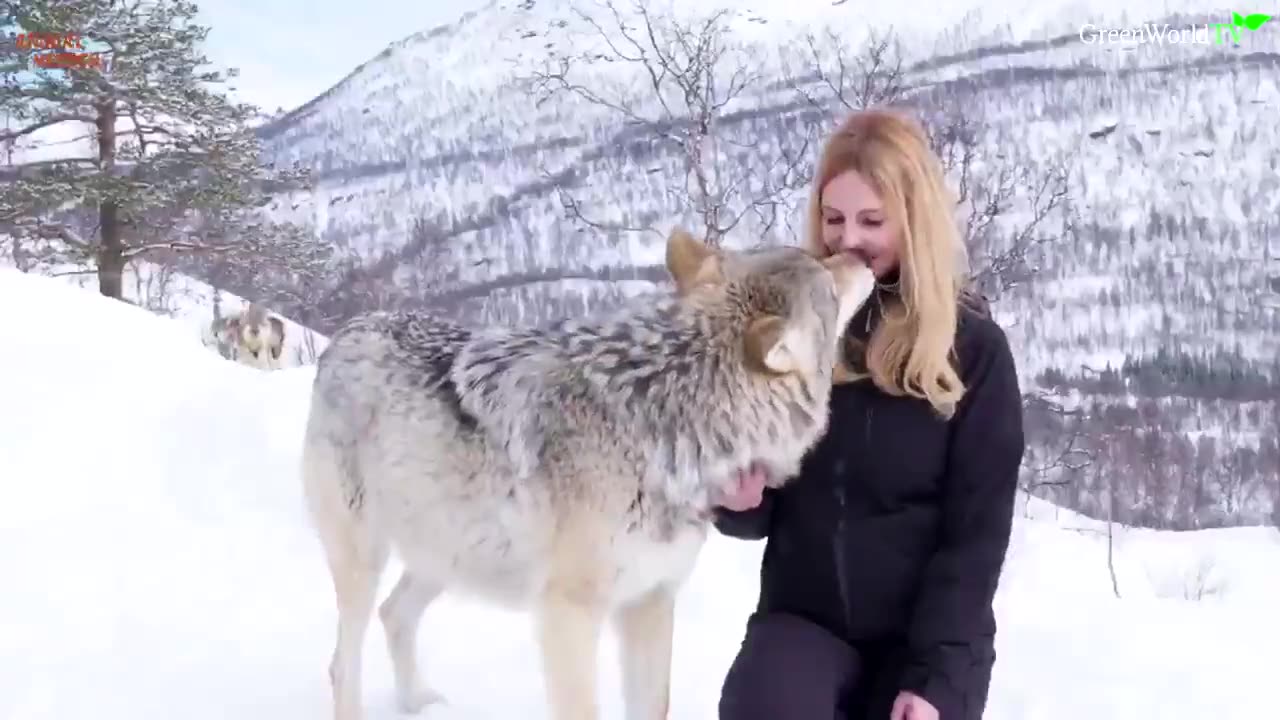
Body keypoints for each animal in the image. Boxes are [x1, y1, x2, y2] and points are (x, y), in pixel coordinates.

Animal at [300, 228, 877, 720]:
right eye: (828, 282)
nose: (861, 257)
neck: (663, 420)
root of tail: (351, 330)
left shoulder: (652, 602)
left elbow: (653, 707)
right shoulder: (568, 617)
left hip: (446, 556)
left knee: (394, 615)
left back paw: (419, 703)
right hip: (367, 561)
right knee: (341, 663)